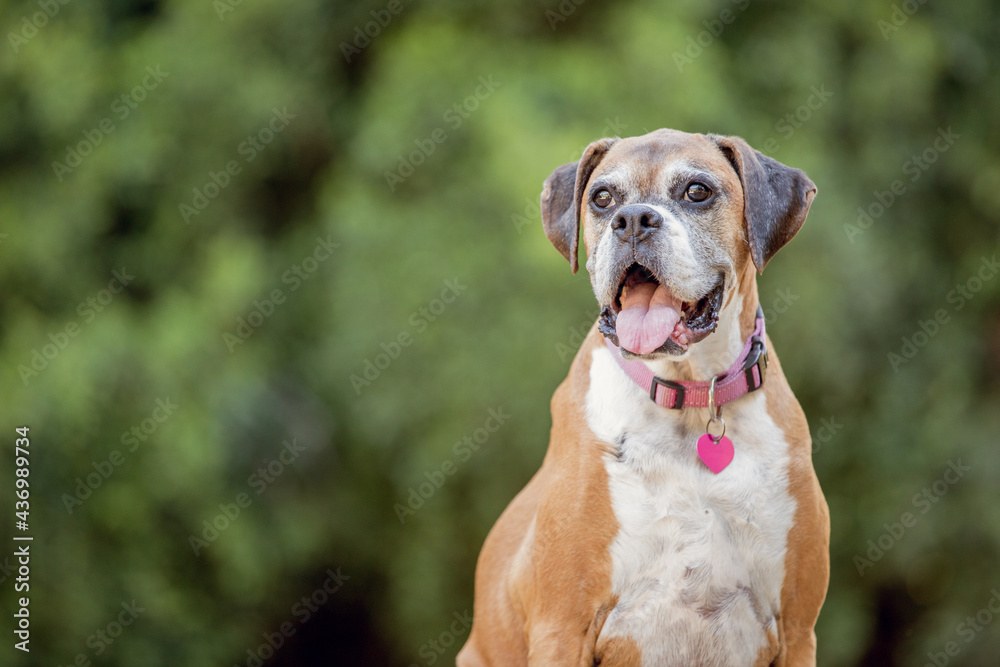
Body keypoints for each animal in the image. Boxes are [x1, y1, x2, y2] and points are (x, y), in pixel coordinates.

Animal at [458, 128, 832, 664]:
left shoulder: (798, 632)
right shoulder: (560, 629)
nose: (633, 219)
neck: (690, 398)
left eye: (697, 191)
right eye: (602, 198)